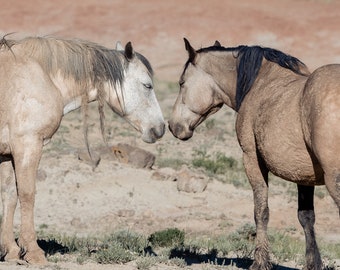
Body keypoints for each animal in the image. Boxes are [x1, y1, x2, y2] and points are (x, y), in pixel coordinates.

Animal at [0, 35, 165, 264]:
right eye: (147, 85)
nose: (160, 128)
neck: (41, 75)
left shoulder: (9, 153)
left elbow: (9, 195)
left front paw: (12, 250)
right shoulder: (28, 145)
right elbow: (27, 194)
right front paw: (33, 252)